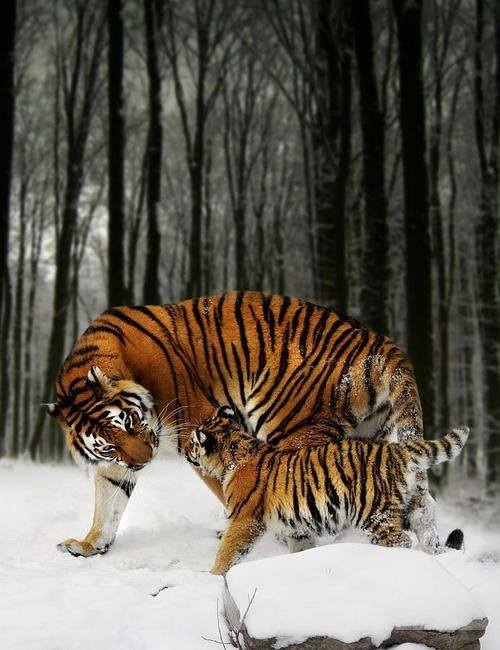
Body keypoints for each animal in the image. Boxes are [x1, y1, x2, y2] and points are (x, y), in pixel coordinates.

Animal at [44, 291, 462, 557]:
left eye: (130, 420)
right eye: (108, 444)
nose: (144, 461)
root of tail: (380, 341)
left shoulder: (195, 425)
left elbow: (229, 484)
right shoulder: (116, 463)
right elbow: (108, 501)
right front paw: (90, 545)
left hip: (292, 426)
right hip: (368, 436)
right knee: (415, 499)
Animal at [185, 407, 469, 574]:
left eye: (192, 442)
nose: (186, 450)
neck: (234, 452)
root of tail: (397, 449)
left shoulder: (245, 519)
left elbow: (229, 550)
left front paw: (213, 575)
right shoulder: (296, 527)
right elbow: (302, 547)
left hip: (374, 515)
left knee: (401, 542)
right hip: (416, 510)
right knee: (431, 539)